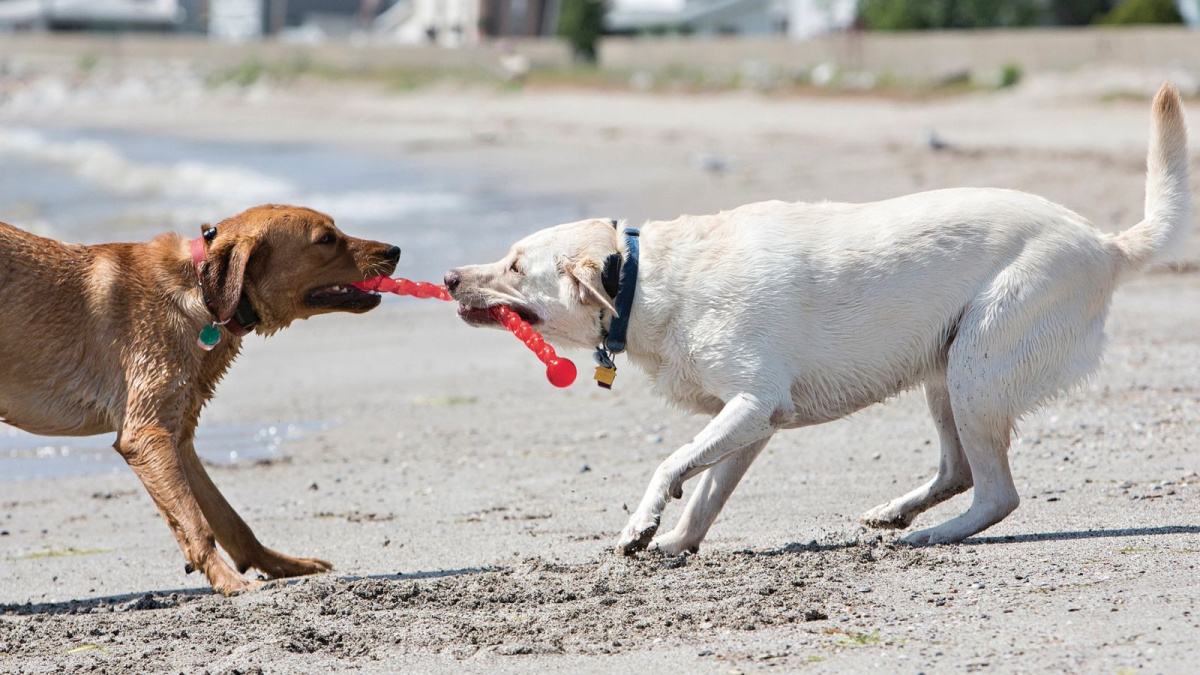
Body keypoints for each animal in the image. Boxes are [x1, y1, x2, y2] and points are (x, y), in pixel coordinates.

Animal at [0, 205, 403, 593]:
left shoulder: (178, 438)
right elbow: (196, 524)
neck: (202, 291)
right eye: (325, 239)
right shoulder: (147, 435)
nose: (395, 251)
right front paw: (229, 582)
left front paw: (280, 565)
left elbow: (229, 520)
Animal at [448, 84, 1190, 554]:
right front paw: (675, 543)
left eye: (514, 266)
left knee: (996, 493)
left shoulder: (751, 403)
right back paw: (899, 513)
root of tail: (1104, 243)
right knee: (960, 472)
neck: (645, 279)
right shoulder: (751, 421)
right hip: (945, 374)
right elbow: (706, 490)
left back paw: (932, 534)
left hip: (977, 364)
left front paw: (643, 524)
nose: (451, 276)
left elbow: (671, 464)